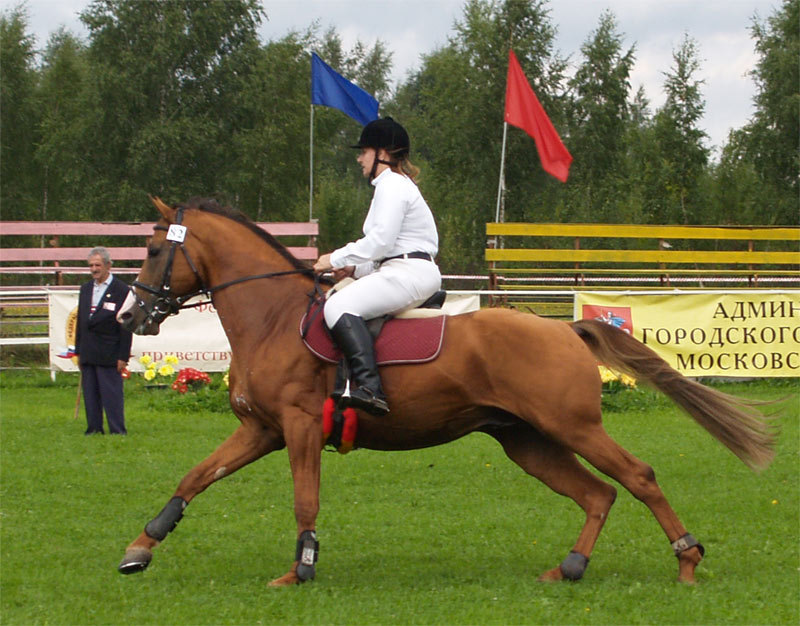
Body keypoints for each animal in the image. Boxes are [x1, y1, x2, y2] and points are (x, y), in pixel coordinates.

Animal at [117, 197, 776, 584]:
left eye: (151, 250)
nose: (131, 316)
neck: (273, 317)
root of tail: (563, 328)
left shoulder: (299, 427)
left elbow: (306, 500)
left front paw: (300, 569)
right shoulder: (262, 430)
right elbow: (193, 479)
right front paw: (140, 549)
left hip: (572, 427)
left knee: (637, 477)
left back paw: (687, 558)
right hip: (527, 442)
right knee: (598, 494)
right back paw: (570, 567)